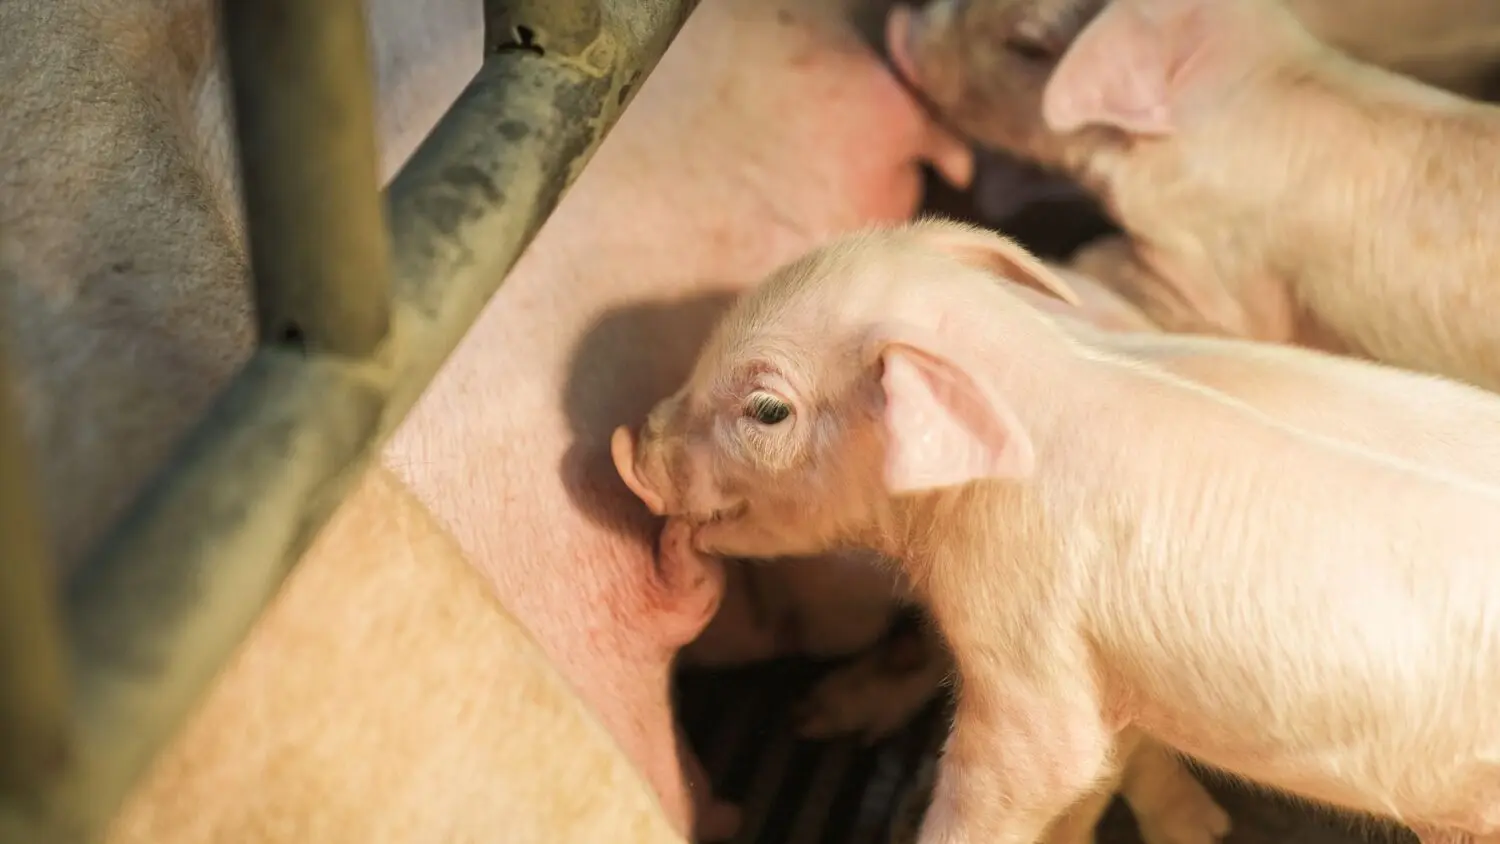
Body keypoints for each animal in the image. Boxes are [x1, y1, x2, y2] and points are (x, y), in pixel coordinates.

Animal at [613, 219, 1500, 844]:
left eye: (767, 410)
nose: (629, 442)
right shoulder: (1115, 672)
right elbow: (1109, 768)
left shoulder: (1026, 625)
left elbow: (1043, 762)